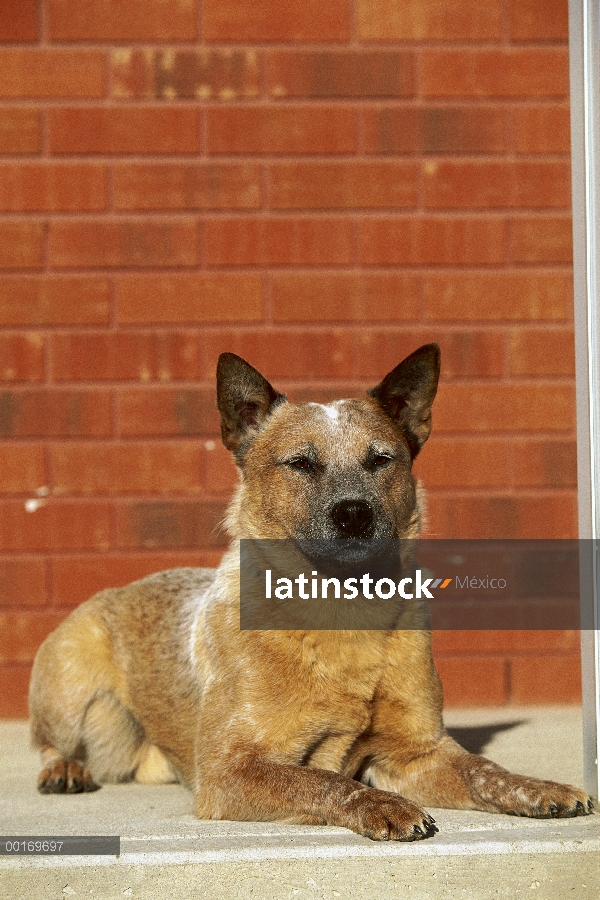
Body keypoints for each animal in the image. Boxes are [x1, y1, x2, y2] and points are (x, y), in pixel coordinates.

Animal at [28, 346, 592, 844]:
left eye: (380, 460)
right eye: (301, 463)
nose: (354, 513)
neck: (344, 611)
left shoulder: (417, 752)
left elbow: (485, 768)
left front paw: (543, 788)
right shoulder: (228, 772)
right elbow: (323, 779)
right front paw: (383, 806)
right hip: (71, 676)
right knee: (48, 741)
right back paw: (63, 770)